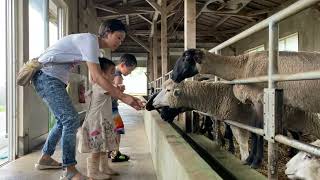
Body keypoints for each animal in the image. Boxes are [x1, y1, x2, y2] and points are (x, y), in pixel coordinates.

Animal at [151, 79, 320, 168]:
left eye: (168, 90)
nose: (151, 104)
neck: (218, 95)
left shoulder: (241, 124)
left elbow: (243, 144)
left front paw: (247, 159)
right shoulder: (244, 123)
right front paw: (250, 159)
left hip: (304, 119)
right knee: (295, 136)